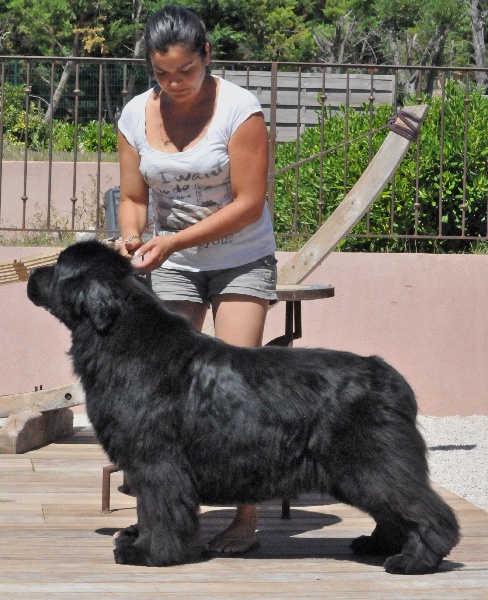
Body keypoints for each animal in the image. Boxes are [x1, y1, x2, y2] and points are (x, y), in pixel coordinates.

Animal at [27, 241, 462, 576]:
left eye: (59, 268)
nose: (31, 276)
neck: (119, 337)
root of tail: (387, 374)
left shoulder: (155, 461)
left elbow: (158, 510)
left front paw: (149, 553)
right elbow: (150, 510)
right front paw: (140, 542)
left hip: (371, 460)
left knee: (424, 509)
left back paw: (415, 560)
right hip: (358, 470)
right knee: (391, 510)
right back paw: (378, 545)